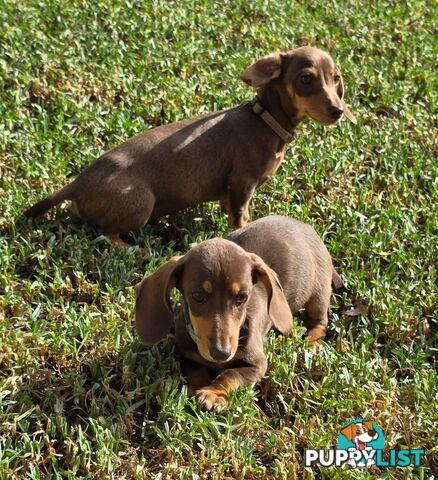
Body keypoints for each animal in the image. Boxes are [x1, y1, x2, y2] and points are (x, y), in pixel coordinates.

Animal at [25, 47, 356, 242]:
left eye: (336, 78)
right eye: (306, 79)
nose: (338, 111)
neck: (266, 120)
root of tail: (76, 185)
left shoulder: (232, 190)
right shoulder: (242, 182)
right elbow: (240, 219)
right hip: (141, 202)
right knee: (107, 233)